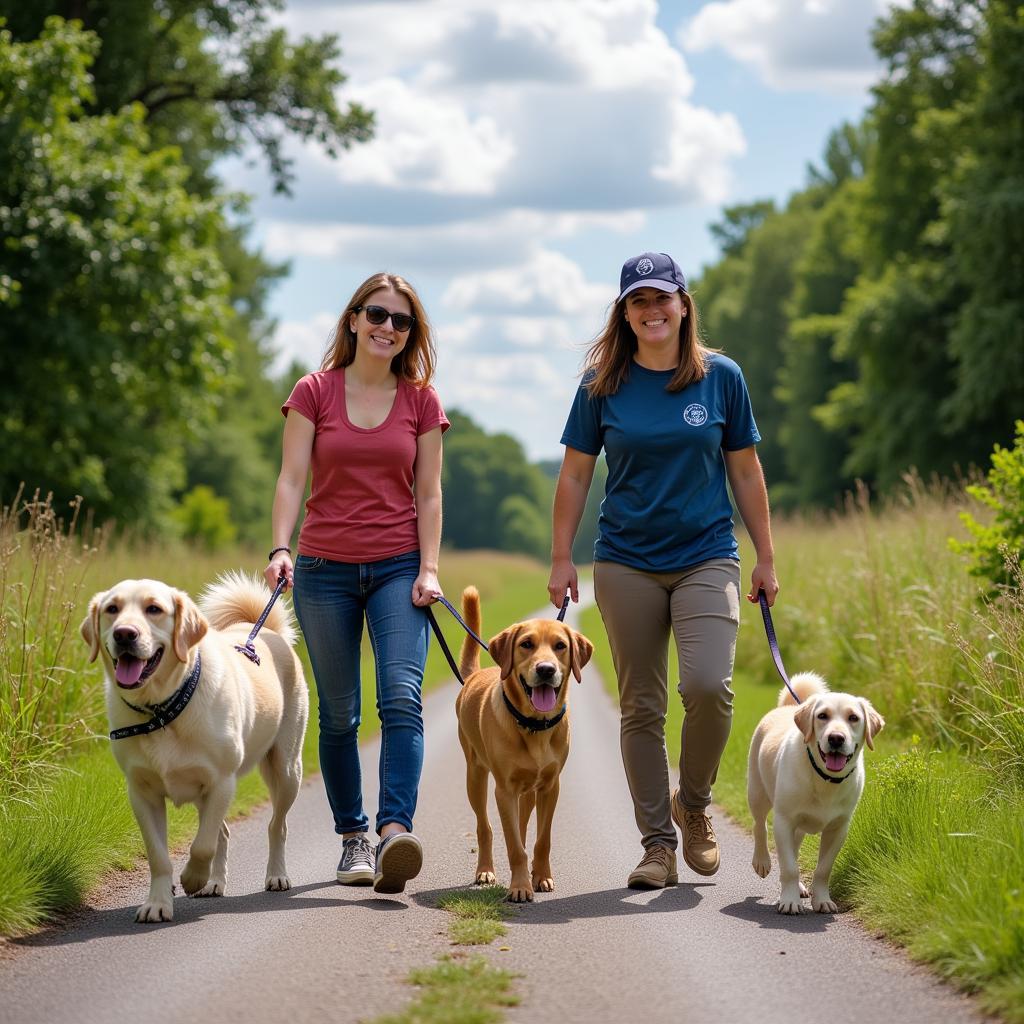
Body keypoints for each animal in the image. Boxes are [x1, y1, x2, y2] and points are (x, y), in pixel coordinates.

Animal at [80, 573, 307, 925]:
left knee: (275, 825)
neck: (162, 710)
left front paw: (191, 879)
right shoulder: (142, 793)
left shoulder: (221, 782)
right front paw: (158, 903)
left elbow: (202, 845)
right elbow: (160, 855)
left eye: (154, 609)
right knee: (223, 832)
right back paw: (214, 882)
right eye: (112, 609)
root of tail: (266, 632)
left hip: (285, 768)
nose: (124, 633)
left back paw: (276, 875)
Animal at [454, 589, 593, 901]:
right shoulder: (504, 789)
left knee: (520, 824)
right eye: (526, 644)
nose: (546, 669)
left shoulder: (551, 787)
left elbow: (542, 839)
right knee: (486, 827)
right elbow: (513, 845)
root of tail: (473, 676)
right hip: (475, 776)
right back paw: (485, 870)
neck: (534, 726)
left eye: (560, 646)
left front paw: (541, 877)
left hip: (528, 791)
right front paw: (520, 886)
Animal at [749, 667, 884, 917]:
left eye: (853, 718)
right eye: (822, 716)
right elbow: (789, 867)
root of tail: (787, 708)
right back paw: (762, 861)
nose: (836, 738)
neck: (825, 779)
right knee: (760, 826)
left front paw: (821, 900)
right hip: (757, 792)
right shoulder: (784, 821)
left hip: (799, 827)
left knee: (793, 848)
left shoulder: (838, 828)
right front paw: (789, 901)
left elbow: (823, 868)